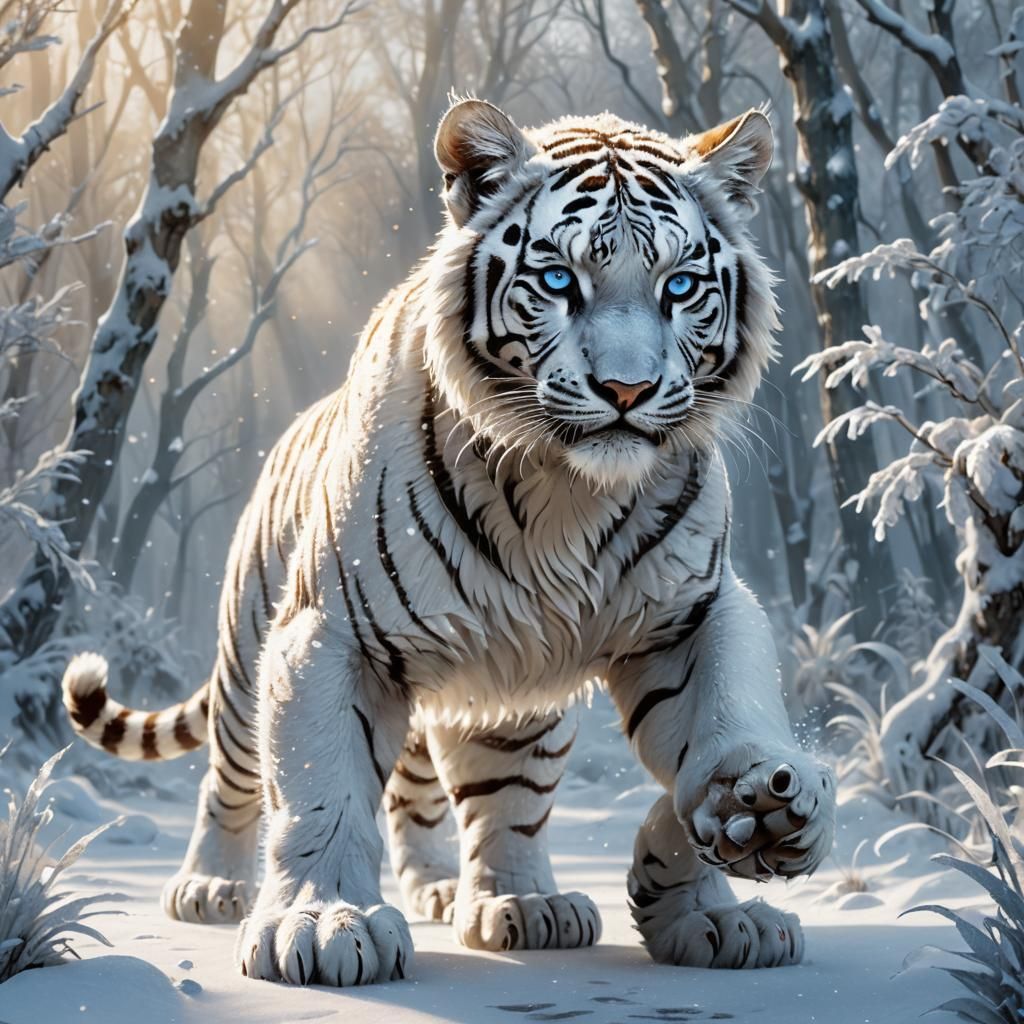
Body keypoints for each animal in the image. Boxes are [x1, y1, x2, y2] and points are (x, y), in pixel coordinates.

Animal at [62, 99, 836, 986]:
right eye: (559, 280)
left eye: (679, 286)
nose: (627, 390)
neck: (567, 492)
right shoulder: (331, 635)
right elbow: (322, 790)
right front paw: (321, 924)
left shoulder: (692, 613)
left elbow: (721, 720)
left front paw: (733, 867)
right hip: (246, 662)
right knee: (231, 780)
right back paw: (211, 887)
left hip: (516, 703)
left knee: (487, 801)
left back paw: (513, 902)